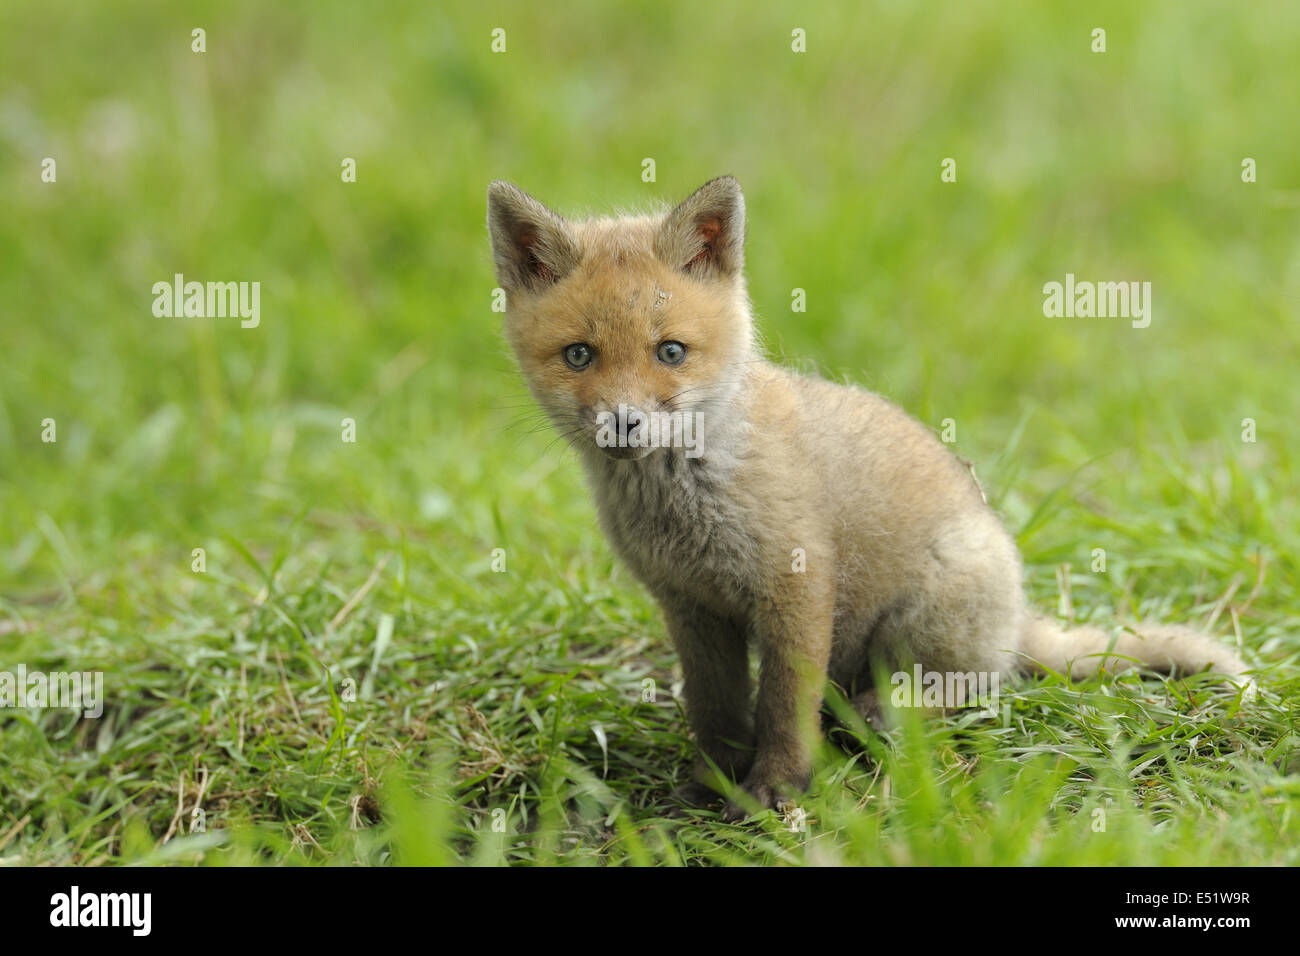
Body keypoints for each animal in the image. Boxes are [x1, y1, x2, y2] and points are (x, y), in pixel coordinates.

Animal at [486, 175, 1248, 816]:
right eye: (579, 355)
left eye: (670, 352)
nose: (623, 422)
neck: (688, 496)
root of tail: (1018, 616)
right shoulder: (690, 607)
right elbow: (717, 709)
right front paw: (713, 782)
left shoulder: (797, 585)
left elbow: (781, 706)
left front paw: (777, 788)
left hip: (928, 610)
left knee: (981, 685)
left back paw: (885, 715)